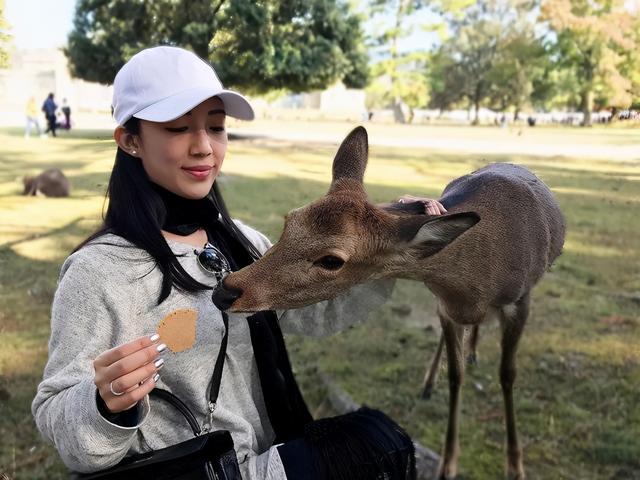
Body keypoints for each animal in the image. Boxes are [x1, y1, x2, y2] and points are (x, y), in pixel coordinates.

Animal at [211, 125, 564, 478]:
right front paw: (448, 463)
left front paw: (515, 465)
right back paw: (434, 378)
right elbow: (455, 375)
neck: (475, 285)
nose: (224, 290)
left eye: (332, 260)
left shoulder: (520, 300)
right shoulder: (444, 303)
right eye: (290, 220)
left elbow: (507, 375)